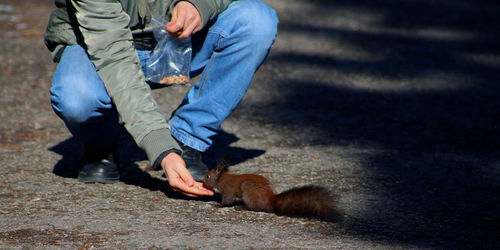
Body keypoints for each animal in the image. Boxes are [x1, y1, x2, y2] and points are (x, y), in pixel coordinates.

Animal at [203, 156, 340, 221]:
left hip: (248, 190)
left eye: (208, 176)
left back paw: (242, 207)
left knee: (256, 208)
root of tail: (271, 199)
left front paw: (218, 205)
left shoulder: (228, 190)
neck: (221, 178)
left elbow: (227, 201)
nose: (203, 183)